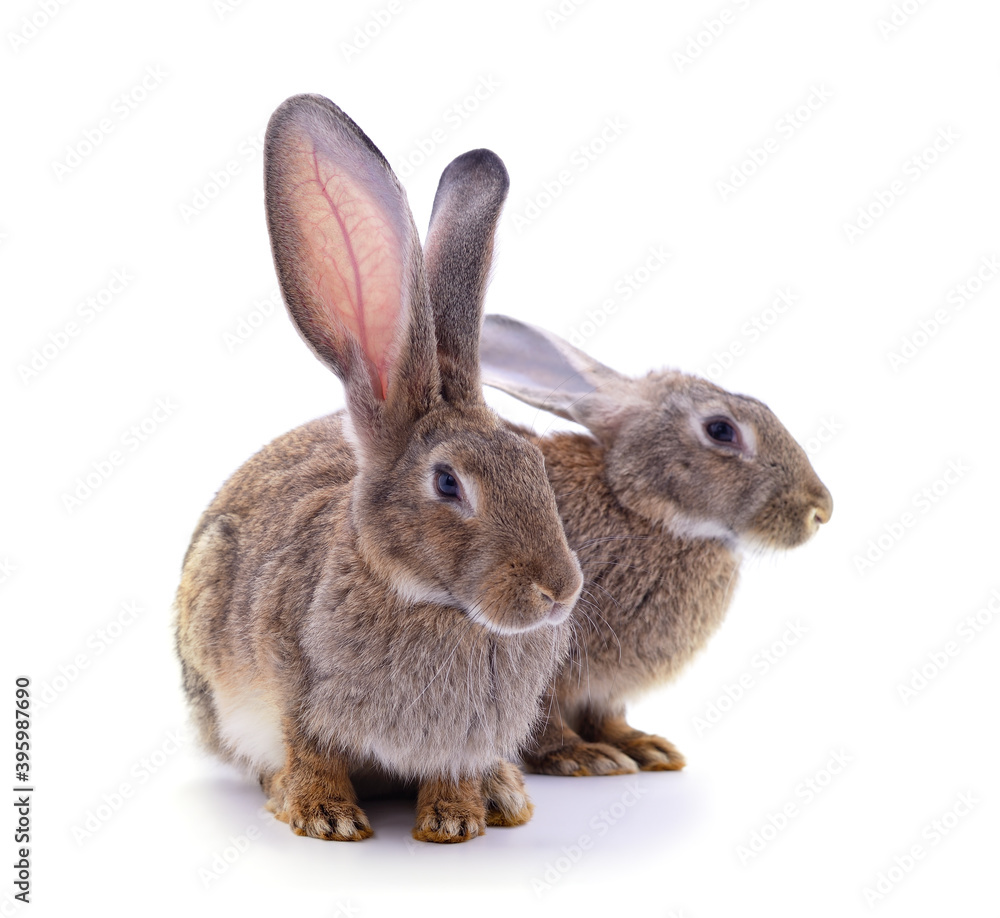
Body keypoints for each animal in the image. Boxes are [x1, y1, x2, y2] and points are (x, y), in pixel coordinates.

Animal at [174, 94, 583, 844]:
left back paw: (505, 794)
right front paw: (326, 818)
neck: (430, 602)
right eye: (448, 483)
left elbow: (453, 771)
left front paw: (455, 822)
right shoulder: (291, 689)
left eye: (535, 464)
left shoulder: (463, 739)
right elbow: (311, 749)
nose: (558, 593)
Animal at [477, 314, 833, 776]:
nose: (821, 510)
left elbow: (608, 716)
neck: (639, 508)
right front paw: (582, 757)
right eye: (721, 430)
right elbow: (542, 718)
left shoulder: (604, 690)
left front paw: (645, 748)